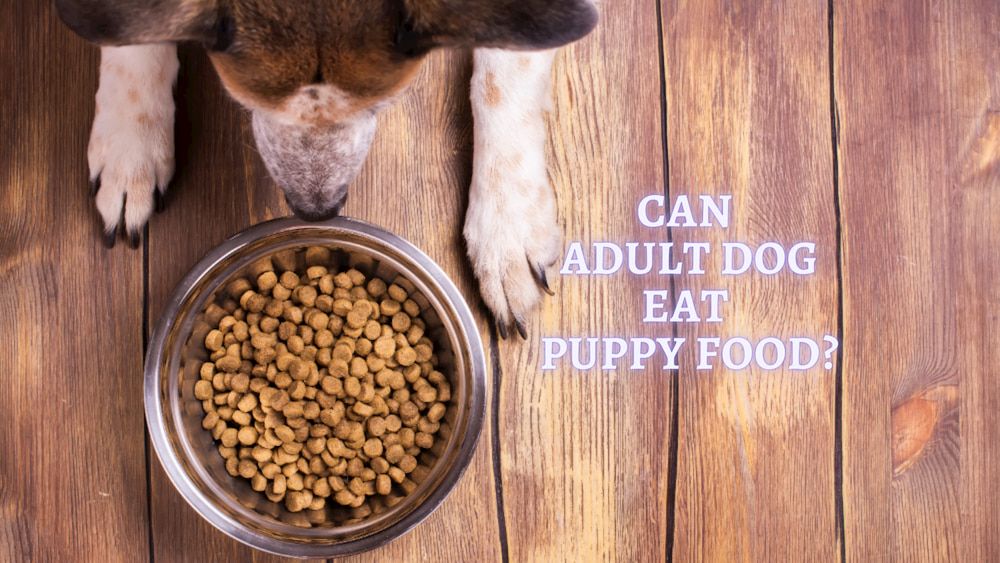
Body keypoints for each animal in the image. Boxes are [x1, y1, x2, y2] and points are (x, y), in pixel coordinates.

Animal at [56, 0, 592, 338]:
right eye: (243, 101)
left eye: (383, 104)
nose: (317, 209)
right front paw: (130, 144)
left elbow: (505, 73)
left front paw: (507, 230)